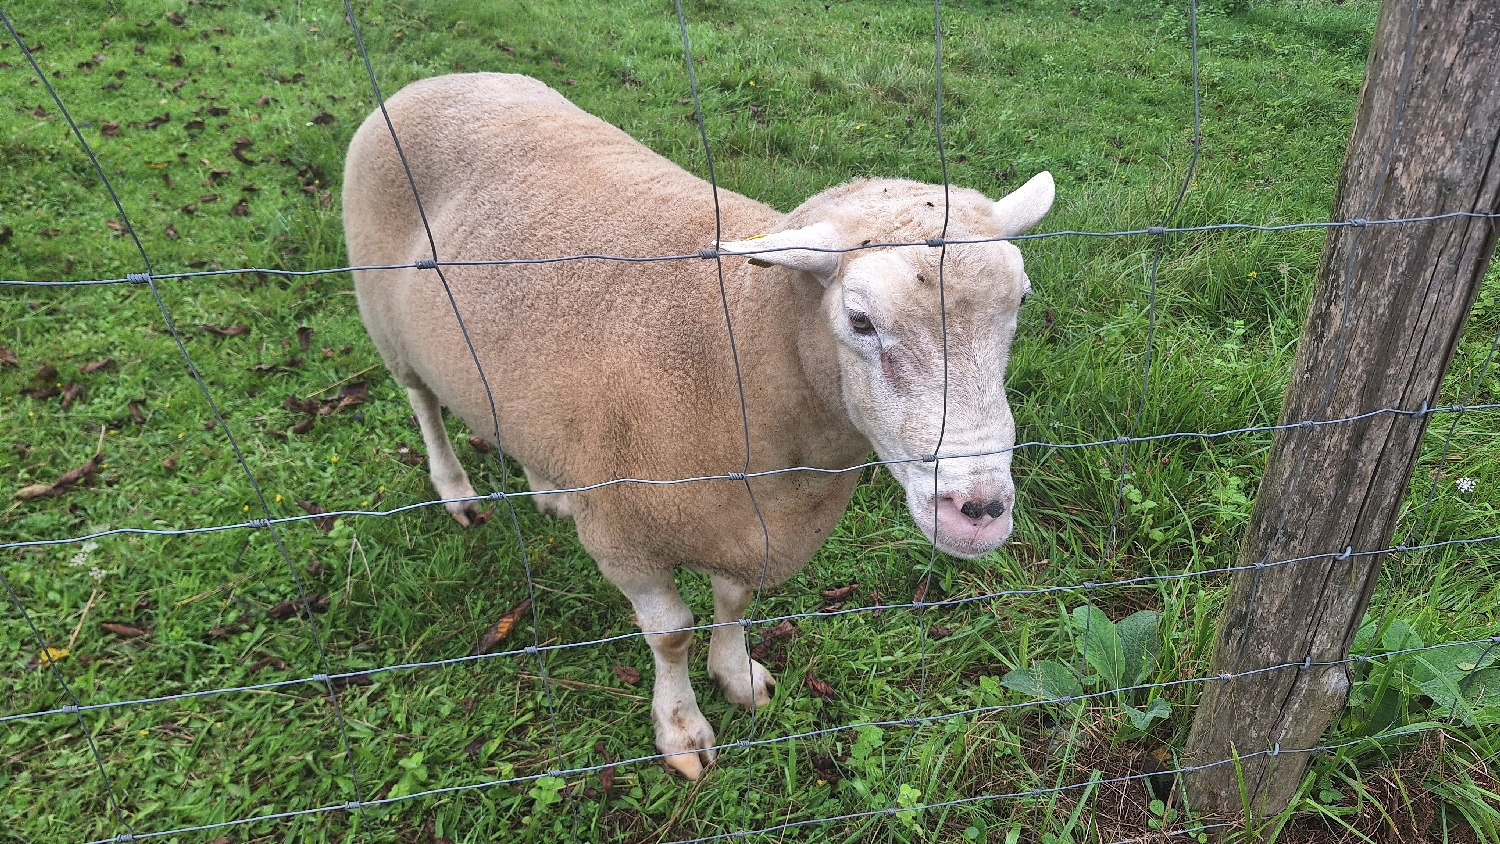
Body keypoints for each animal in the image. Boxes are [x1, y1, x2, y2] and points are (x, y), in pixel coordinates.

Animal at [345, 72, 1056, 779]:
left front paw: (737, 676)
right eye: (859, 320)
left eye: (1021, 300)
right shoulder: (626, 539)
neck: (735, 348)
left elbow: (734, 605)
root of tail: (442, 80)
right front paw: (681, 727)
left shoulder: (753, 527)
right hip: (385, 322)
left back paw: (549, 491)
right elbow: (670, 633)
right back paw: (457, 491)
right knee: (423, 403)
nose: (979, 511)